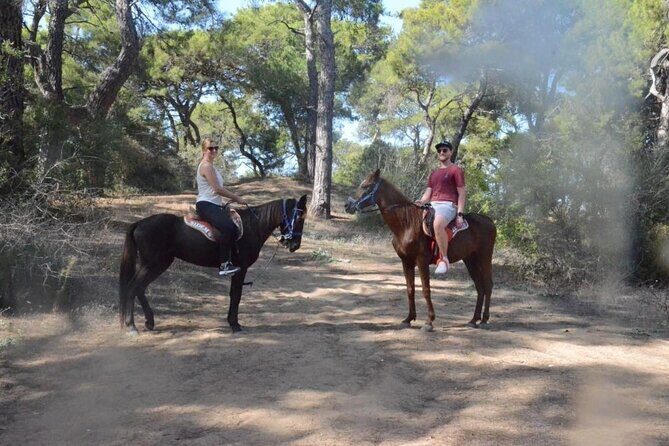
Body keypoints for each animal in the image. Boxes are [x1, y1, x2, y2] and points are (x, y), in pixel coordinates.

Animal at [119, 195, 307, 335]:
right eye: (298, 218)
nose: (295, 245)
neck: (252, 226)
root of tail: (139, 223)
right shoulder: (241, 268)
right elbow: (236, 295)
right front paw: (235, 325)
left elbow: (233, 294)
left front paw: (233, 322)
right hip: (153, 263)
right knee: (133, 287)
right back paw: (131, 326)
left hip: (158, 263)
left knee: (139, 288)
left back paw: (149, 322)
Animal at [344, 169, 496, 331]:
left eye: (366, 186)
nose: (347, 205)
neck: (407, 224)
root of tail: (489, 221)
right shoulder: (406, 262)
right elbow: (410, 289)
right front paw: (408, 318)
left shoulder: (422, 261)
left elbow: (425, 289)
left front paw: (429, 321)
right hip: (470, 259)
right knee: (480, 286)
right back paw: (474, 320)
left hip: (485, 257)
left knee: (488, 285)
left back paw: (484, 319)